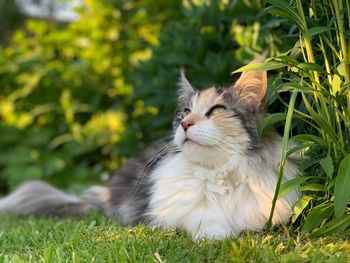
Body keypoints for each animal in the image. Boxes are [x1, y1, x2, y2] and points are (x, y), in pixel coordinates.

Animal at [0, 58, 300, 241]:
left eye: (215, 111)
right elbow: (206, 223)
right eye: (186, 112)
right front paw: (213, 237)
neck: (216, 173)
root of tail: (106, 193)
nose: (185, 124)